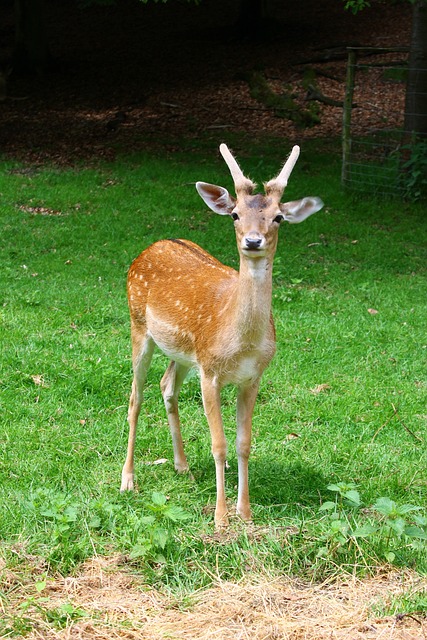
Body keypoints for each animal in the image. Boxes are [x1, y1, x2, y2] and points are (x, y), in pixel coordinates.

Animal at [120, 146, 324, 528]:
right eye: (234, 214)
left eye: (278, 217)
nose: (253, 241)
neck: (242, 344)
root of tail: (156, 243)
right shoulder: (211, 373)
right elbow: (220, 445)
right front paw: (220, 517)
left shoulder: (252, 377)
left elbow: (244, 443)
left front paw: (244, 512)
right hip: (139, 326)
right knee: (135, 398)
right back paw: (128, 480)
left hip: (185, 353)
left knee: (167, 385)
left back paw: (182, 467)